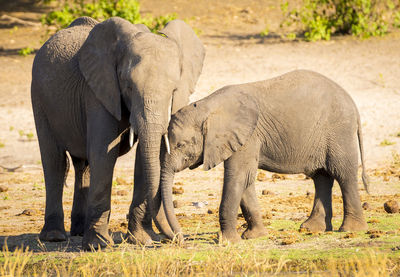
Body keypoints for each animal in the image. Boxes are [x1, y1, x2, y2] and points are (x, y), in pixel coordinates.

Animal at [31, 16, 205, 249]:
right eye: (128, 86)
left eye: (174, 90)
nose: (179, 239)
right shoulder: (99, 92)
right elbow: (104, 154)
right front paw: (98, 245)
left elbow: (143, 157)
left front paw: (142, 240)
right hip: (39, 97)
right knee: (55, 162)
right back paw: (54, 236)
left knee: (83, 165)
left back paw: (78, 231)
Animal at [159, 69, 368, 242]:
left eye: (181, 145)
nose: (180, 240)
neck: (207, 106)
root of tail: (352, 103)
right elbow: (246, 180)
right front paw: (254, 236)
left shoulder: (248, 136)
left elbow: (237, 177)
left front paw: (227, 242)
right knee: (321, 177)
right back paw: (312, 229)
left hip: (339, 131)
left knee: (343, 174)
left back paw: (351, 230)